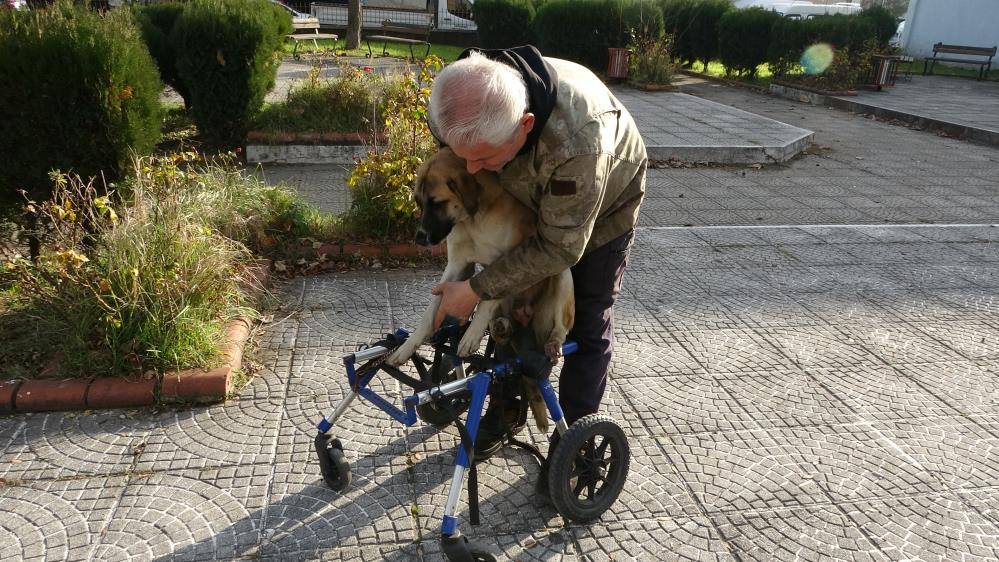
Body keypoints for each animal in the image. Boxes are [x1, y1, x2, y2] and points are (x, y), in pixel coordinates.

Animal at [390, 147, 580, 378]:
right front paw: (407, 346)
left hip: (562, 274)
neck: (474, 218)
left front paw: (471, 335)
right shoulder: (457, 265)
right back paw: (501, 327)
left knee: (562, 327)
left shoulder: (507, 263)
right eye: (419, 203)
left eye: (437, 203)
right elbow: (432, 309)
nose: (419, 238)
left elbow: (486, 300)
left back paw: (553, 342)